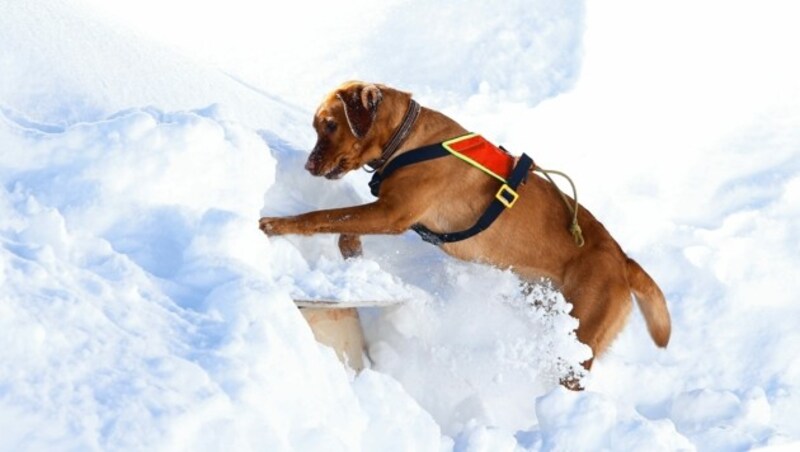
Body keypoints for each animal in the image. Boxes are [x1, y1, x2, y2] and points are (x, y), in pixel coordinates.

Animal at [260, 80, 668, 374]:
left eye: (329, 125)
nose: (309, 165)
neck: (407, 138)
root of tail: (623, 260)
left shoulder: (391, 214)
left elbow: (323, 216)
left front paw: (277, 224)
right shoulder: (388, 214)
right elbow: (344, 227)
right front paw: (353, 255)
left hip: (580, 338)